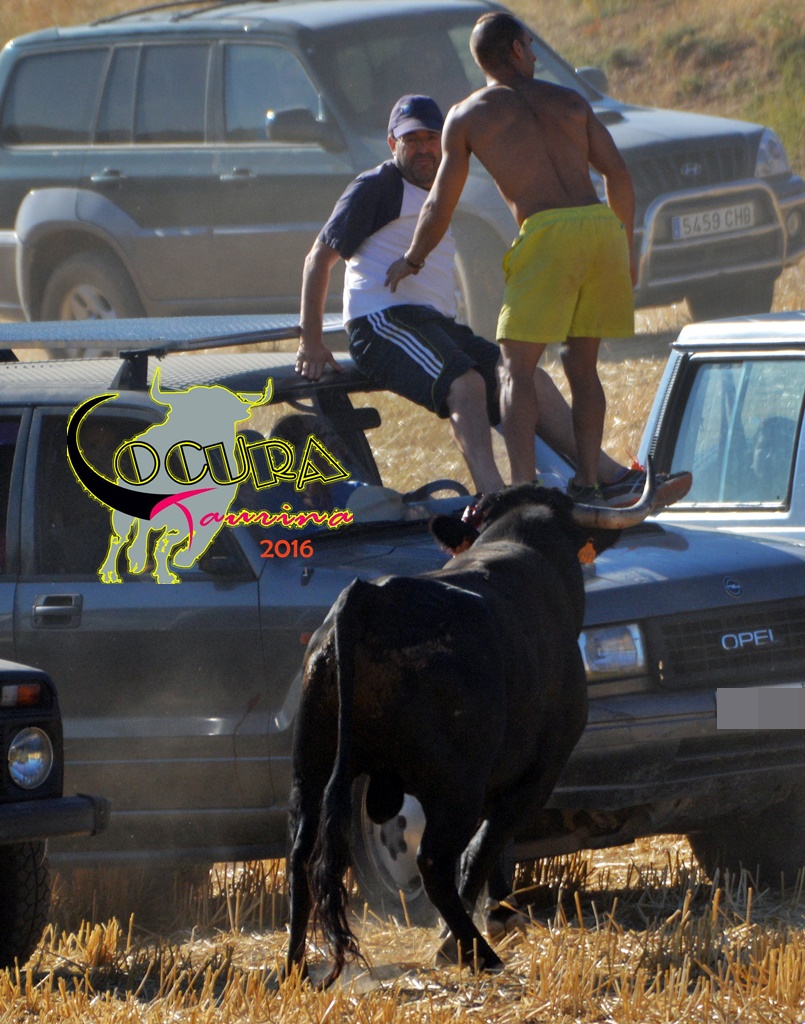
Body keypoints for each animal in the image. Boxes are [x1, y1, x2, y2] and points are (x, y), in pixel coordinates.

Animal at [286, 474, 657, 985]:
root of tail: (369, 598)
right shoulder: (536, 774)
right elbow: (488, 844)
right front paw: (490, 919)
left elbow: (491, 849)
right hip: (455, 788)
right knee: (435, 861)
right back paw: (476, 951)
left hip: (311, 770)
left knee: (301, 857)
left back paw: (295, 967)